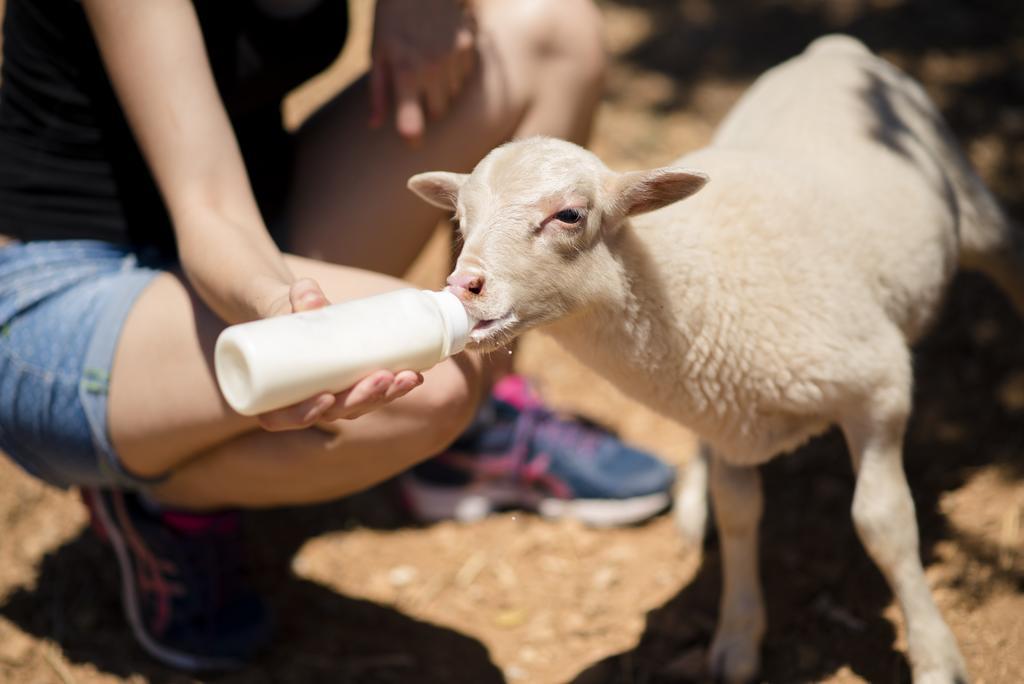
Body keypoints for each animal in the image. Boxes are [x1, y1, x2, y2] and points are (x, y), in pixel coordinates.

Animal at [403, 36, 1019, 684]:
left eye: (569, 215)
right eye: (460, 222)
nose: (463, 286)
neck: (701, 284)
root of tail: (833, 49)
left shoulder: (880, 388)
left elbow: (884, 523)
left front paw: (933, 655)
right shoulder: (727, 412)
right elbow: (739, 512)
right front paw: (738, 637)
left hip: (972, 205)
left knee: (1010, 257)